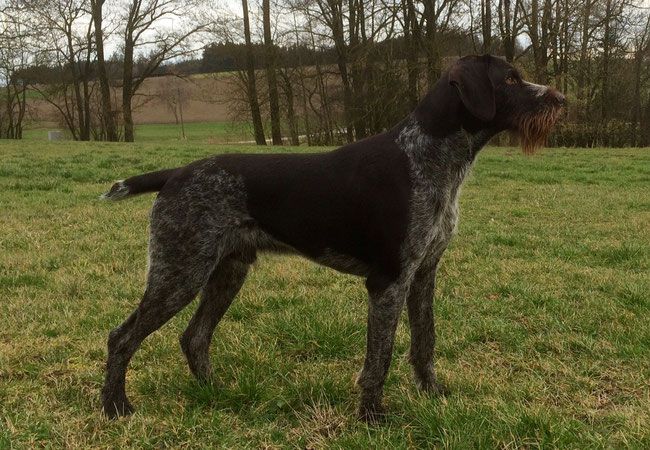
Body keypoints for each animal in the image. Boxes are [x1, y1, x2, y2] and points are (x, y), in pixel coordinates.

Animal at [100, 54, 560, 420]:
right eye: (510, 79)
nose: (561, 99)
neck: (430, 156)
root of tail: (175, 174)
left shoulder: (424, 272)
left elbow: (424, 342)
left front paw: (432, 394)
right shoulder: (388, 282)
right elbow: (380, 358)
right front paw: (372, 416)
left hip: (226, 271)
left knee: (194, 337)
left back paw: (214, 393)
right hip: (180, 271)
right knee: (122, 337)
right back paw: (115, 407)